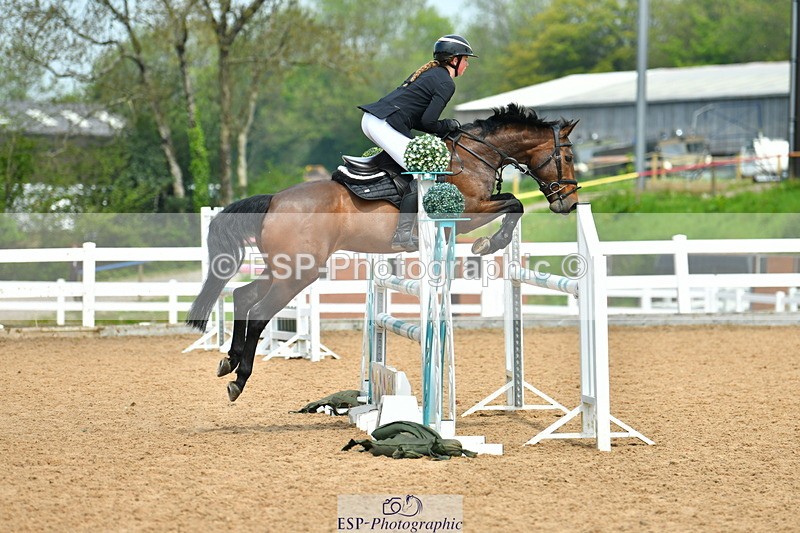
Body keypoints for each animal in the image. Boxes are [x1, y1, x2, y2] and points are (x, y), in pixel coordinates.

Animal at [187, 103, 579, 402]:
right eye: (568, 155)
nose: (569, 203)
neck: (475, 156)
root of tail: (274, 201)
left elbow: (513, 204)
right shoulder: (468, 212)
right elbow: (515, 203)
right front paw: (488, 244)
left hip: (284, 268)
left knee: (242, 295)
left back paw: (228, 361)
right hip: (298, 273)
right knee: (258, 313)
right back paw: (239, 379)